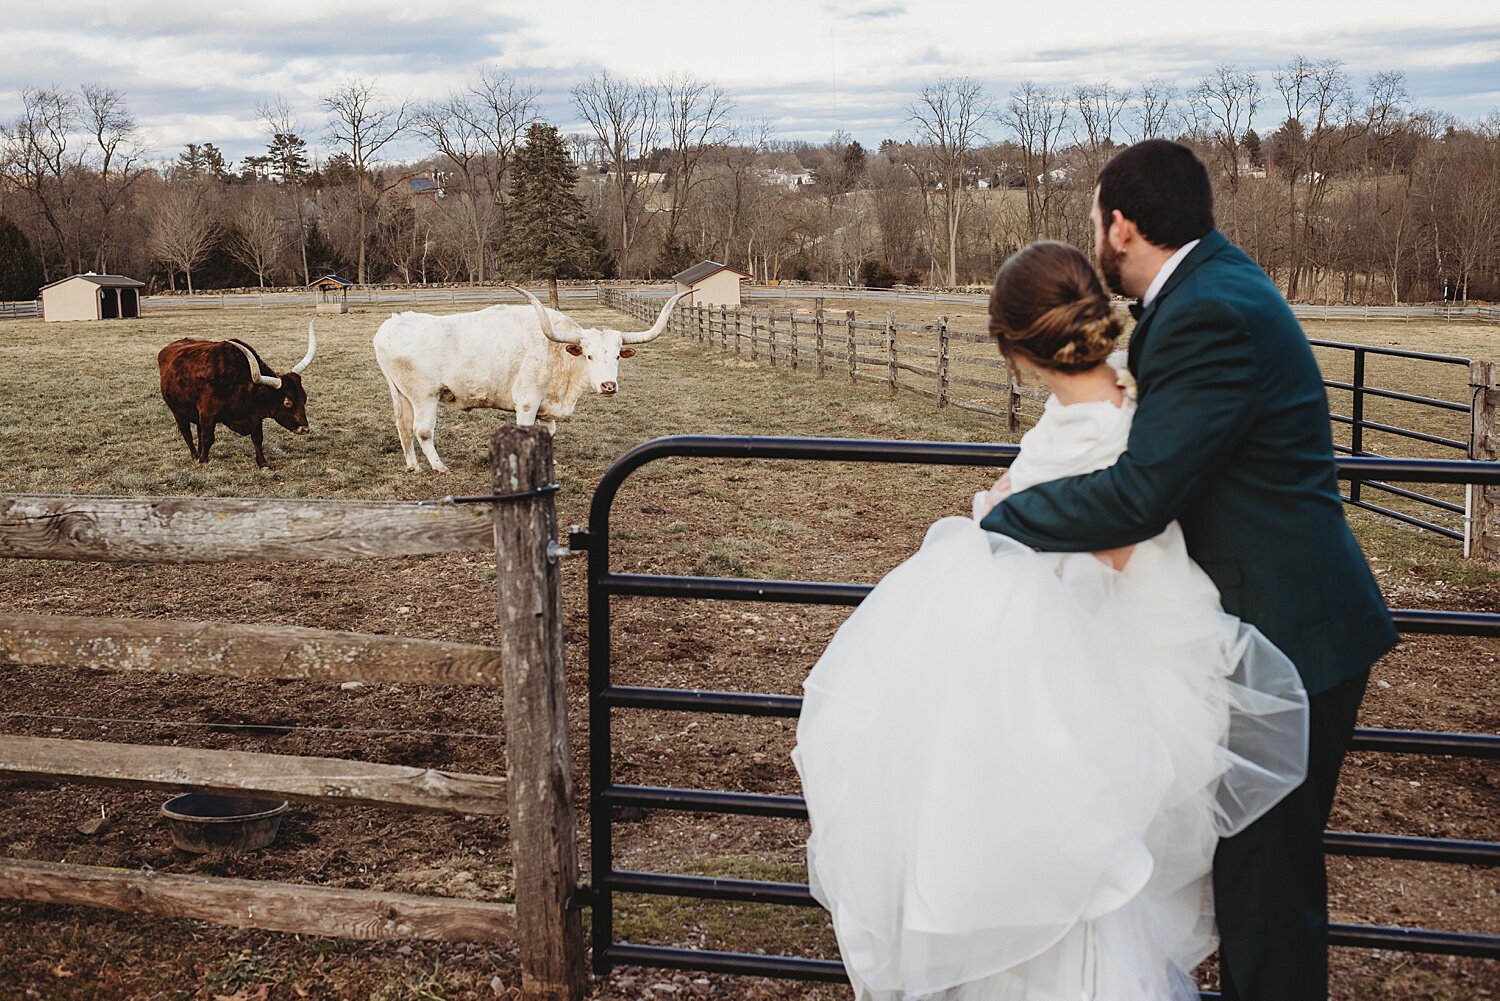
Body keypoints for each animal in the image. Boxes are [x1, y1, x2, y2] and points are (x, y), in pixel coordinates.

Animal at [158, 327, 316, 471]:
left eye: (305, 398)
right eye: (287, 402)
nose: (305, 428)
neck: (239, 383)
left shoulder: (255, 416)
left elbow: (257, 439)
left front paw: (263, 463)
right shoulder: (207, 414)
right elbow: (208, 438)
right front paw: (202, 461)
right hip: (177, 411)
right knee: (187, 433)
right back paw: (195, 455)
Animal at [372, 285, 687, 474]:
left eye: (618, 355)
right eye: (589, 355)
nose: (608, 386)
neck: (556, 354)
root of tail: (391, 324)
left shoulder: (546, 408)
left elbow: (549, 432)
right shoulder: (526, 403)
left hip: (403, 395)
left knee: (404, 427)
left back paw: (413, 466)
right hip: (424, 396)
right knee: (423, 430)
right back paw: (439, 467)